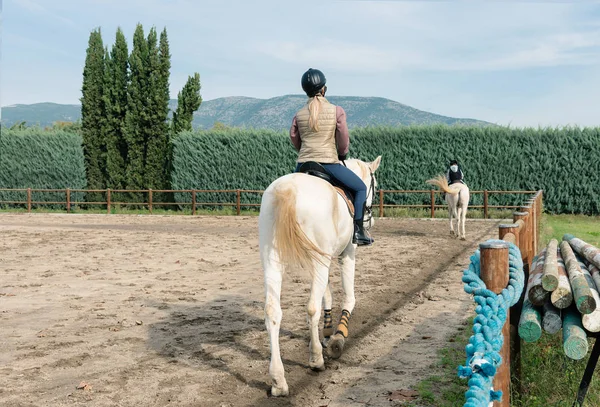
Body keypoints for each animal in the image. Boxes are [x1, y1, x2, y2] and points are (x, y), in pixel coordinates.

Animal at [256, 155, 380, 396]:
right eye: (375, 186)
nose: (370, 220)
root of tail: (289, 189)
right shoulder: (346, 253)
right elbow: (348, 297)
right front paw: (338, 336)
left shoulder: (322, 259)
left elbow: (327, 294)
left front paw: (328, 330)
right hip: (318, 258)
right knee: (311, 308)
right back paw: (316, 360)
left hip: (273, 260)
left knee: (272, 313)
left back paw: (278, 380)